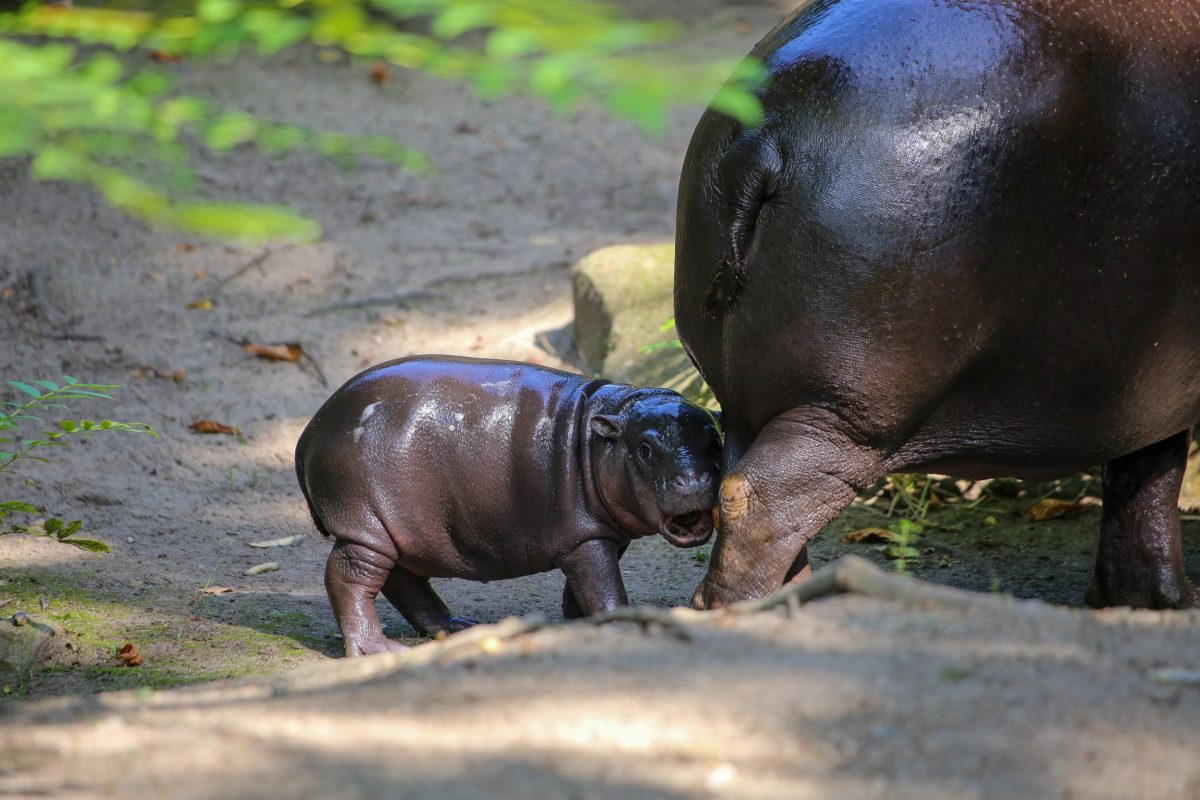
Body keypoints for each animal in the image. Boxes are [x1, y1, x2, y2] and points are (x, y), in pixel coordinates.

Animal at [296, 357, 720, 657]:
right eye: (645, 448)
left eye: (716, 439)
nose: (695, 481)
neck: (603, 429)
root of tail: (310, 430)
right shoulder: (587, 539)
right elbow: (604, 586)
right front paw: (620, 626)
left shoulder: (599, 537)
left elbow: (582, 587)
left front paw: (577, 624)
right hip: (366, 526)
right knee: (349, 577)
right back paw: (378, 649)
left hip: (401, 530)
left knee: (404, 579)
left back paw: (459, 626)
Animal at [676, 0, 1200, 606]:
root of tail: (761, 139)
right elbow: (1153, 479)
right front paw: (1175, 606)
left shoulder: (1147, 385)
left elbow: (1143, 482)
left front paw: (1142, 600)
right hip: (846, 411)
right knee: (760, 496)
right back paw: (758, 608)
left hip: (752, 393)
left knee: (737, 482)